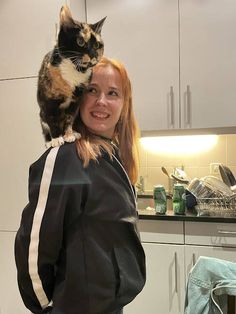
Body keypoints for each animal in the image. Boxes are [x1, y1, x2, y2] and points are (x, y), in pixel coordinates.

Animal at [37, 4, 106, 147]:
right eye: (80, 41)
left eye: (97, 44)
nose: (93, 55)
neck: (76, 69)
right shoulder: (49, 102)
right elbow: (52, 120)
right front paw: (56, 139)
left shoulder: (76, 101)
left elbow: (69, 118)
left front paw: (69, 135)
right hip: (41, 115)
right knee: (45, 128)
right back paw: (49, 141)